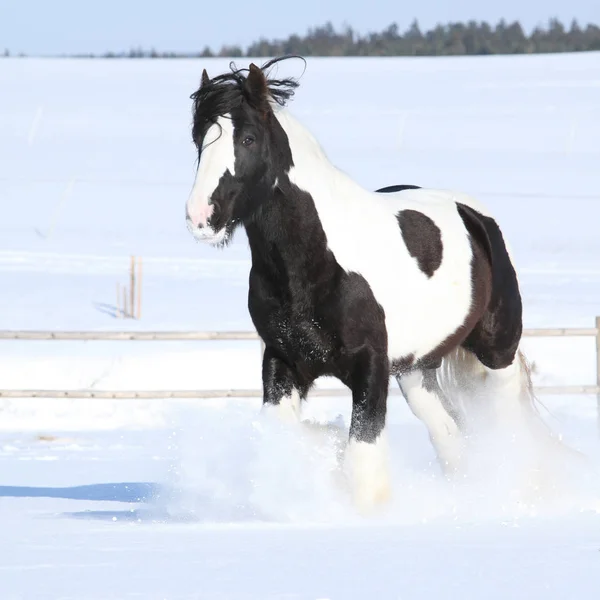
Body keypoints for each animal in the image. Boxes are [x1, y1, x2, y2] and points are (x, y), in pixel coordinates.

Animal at [183, 56, 544, 510]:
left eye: (247, 138)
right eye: (199, 139)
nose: (201, 217)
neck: (312, 267)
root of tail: (475, 215)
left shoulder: (370, 368)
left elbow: (362, 456)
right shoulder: (282, 362)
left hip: (496, 352)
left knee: (508, 423)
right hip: (416, 369)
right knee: (450, 432)